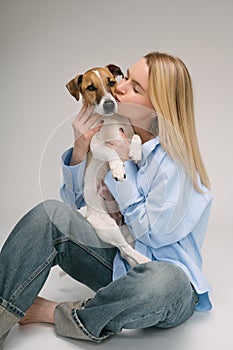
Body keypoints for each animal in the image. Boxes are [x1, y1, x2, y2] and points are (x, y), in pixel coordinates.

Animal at [66, 65, 149, 266]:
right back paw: (145, 260)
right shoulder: (96, 146)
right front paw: (118, 169)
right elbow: (111, 153)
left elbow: (137, 137)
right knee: (125, 249)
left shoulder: (129, 131)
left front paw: (135, 152)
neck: (109, 120)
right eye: (90, 87)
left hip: (128, 231)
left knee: (126, 252)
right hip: (107, 227)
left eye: (111, 82)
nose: (110, 104)